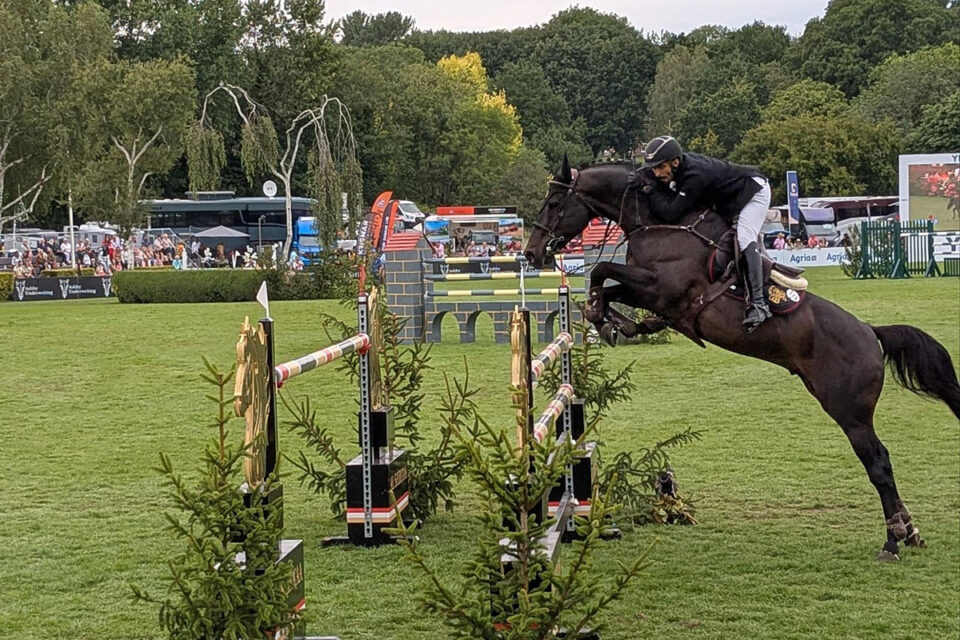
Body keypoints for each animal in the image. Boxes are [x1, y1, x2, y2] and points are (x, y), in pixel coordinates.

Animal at [524, 156, 960, 561]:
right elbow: (609, 284)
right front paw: (620, 323)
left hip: (850, 413)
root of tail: (871, 332)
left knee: (879, 464)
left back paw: (893, 540)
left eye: (554, 202)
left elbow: (601, 271)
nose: (530, 253)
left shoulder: (662, 289)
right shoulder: (652, 293)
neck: (659, 222)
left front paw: (606, 319)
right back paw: (910, 530)